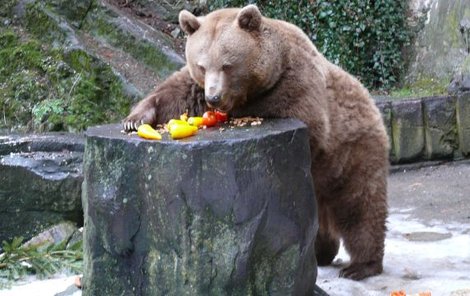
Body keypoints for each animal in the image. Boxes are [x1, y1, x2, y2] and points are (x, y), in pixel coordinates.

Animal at [122, 5, 390, 282]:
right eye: (202, 66)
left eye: (227, 65)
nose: (214, 97)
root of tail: (371, 103)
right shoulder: (196, 89)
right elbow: (174, 94)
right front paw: (135, 120)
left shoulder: (295, 86)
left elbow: (303, 120)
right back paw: (321, 254)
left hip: (352, 150)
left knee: (360, 206)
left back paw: (360, 265)